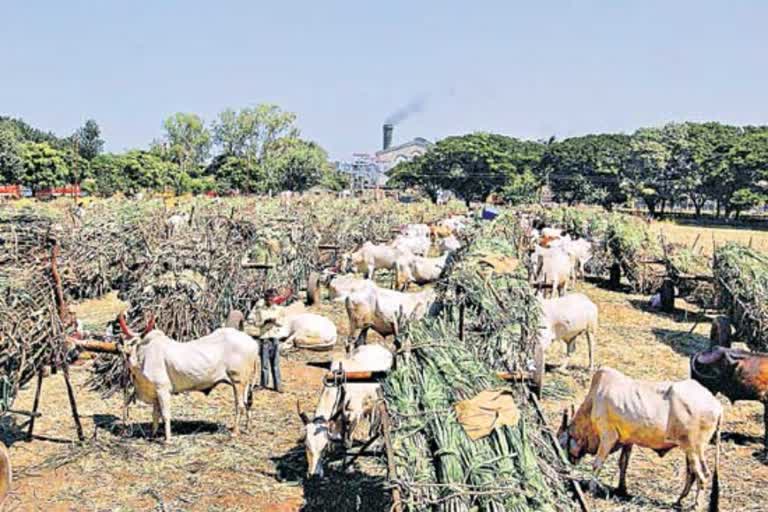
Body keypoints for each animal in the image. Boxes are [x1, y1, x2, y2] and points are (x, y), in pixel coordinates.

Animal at [118, 314, 260, 442]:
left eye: (133, 343)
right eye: (123, 343)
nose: (126, 354)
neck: (143, 354)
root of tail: (253, 344)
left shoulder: (162, 389)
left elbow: (165, 415)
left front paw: (167, 440)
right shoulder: (155, 393)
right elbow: (155, 415)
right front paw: (153, 435)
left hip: (238, 382)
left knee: (240, 405)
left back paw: (235, 432)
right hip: (245, 384)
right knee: (247, 403)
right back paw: (247, 428)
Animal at [294, 342, 390, 478]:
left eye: (323, 448)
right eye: (306, 445)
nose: (314, 474)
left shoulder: (354, 415)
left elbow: (347, 442)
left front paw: (348, 467)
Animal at [560, 368, 720, 508]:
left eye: (561, 444)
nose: (562, 468)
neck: (593, 401)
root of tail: (717, 406)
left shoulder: (608, 436)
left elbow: (597, 463)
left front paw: (591, 488)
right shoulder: (627, 441)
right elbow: (623, 463)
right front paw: (621, 489)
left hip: (694, 448)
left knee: (703, 474)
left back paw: (696, 505)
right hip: (688, 449)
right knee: (691, 474)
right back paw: (678, 501)